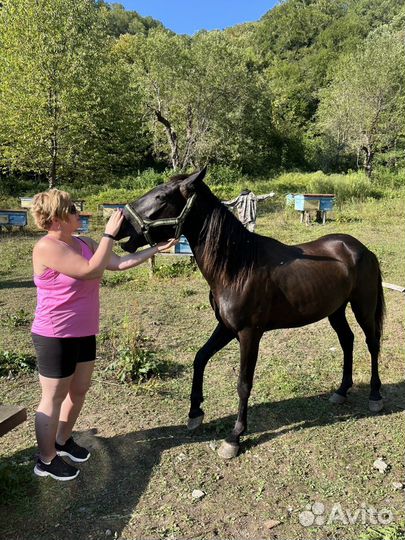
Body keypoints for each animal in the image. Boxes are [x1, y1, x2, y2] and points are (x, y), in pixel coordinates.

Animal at [115, 169, 384, 460]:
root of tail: (361, 249)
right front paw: (195, 412)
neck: (238, 266)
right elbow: (200, 358)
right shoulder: (225, 328)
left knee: (372, 343)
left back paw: (375, 395)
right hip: (336, 310)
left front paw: (235, 437)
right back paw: (342, 391)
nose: (120, 224)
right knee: (347, 341)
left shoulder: (249, 334)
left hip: (363, 307)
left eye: (162, 196)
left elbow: (244, 383)